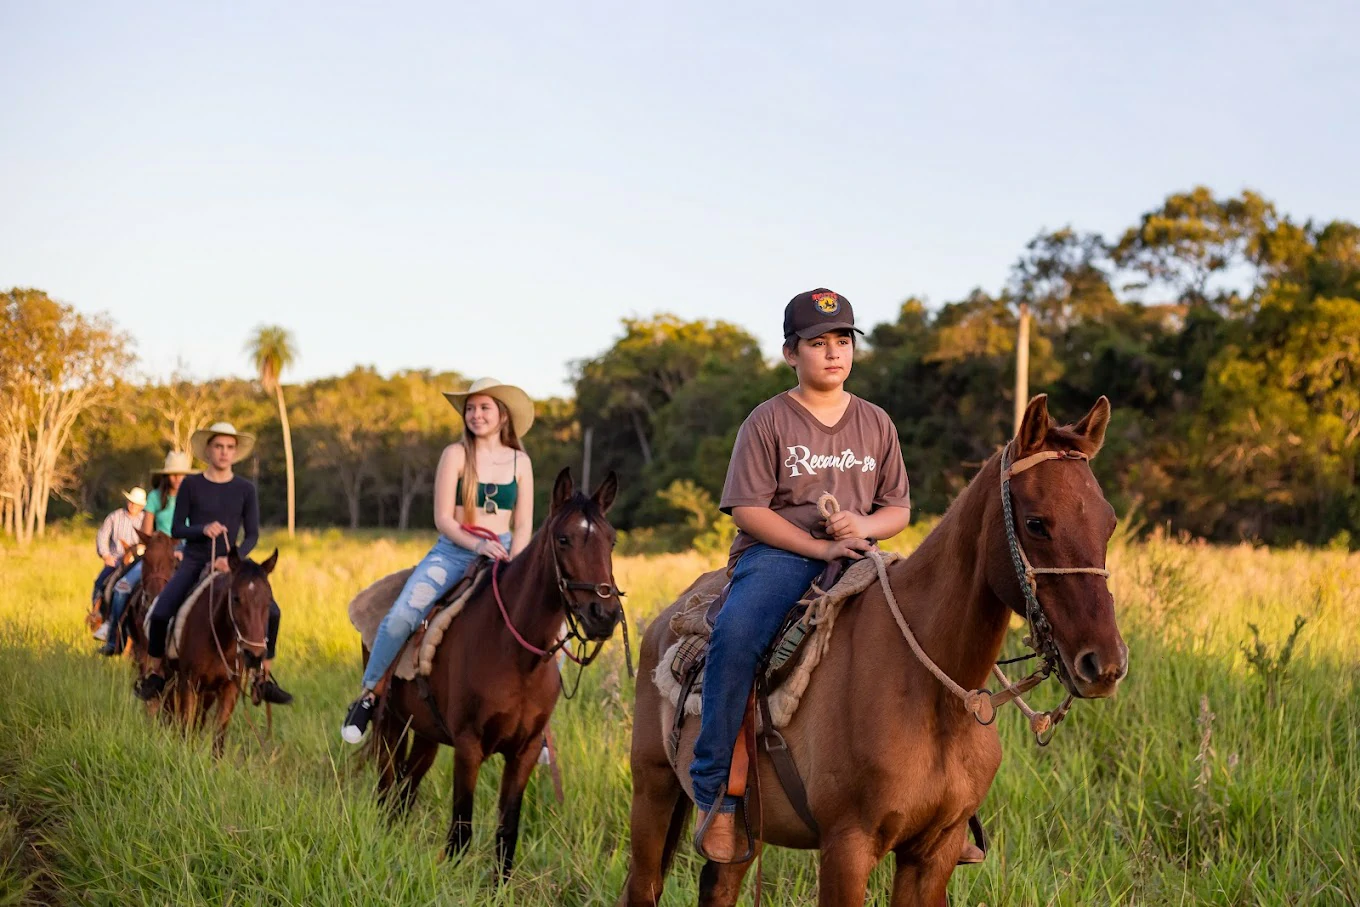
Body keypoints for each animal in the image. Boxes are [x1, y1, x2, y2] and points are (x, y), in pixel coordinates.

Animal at [159, 549, 276, 756]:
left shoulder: (229, 689)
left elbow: (218, 737)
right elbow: (185, 727)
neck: (219, 642)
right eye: (236, 598)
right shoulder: (188, 683)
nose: (254, 655)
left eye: (268, 600)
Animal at [369, 467, 628, 881]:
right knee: (386, 785)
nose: (603, 615)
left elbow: (507, 830)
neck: (517, 657)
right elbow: (461, 830)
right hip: (391, 724)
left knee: (405, 790)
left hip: (427, 735)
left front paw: (498, 888)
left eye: (612, 540)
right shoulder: (469, 746)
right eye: (564, 539)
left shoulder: (524, 751)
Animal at [622, 397, 1126, 907]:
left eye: (1109, 523)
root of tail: (669, 616)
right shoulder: (847, 847)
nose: (1104, 664)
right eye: (1036, 523)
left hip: (749, 828)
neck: (931, 695)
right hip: (653, 789)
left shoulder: (935, 852)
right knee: (643, 884)